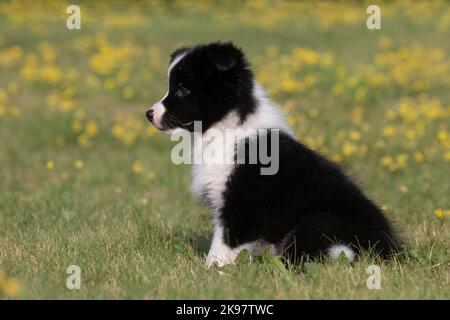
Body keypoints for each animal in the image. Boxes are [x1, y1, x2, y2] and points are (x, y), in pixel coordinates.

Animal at [146, 42, 402, 268]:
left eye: (183, 89)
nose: (149, 114)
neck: (228, 126)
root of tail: (388, 250)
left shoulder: (241, 202)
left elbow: (224, 241)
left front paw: (212, 268)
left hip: (320, 221)